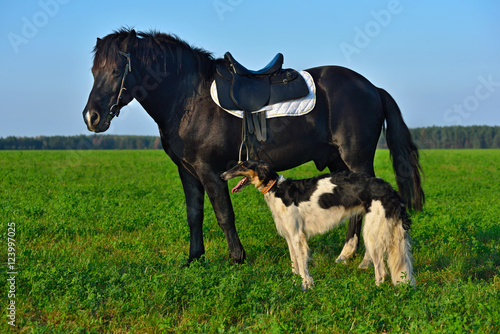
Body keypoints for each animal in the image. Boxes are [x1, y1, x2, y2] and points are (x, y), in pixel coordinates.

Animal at [84, 28, 424, 264]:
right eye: (93, 71)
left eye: (116, 71)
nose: (92, 117)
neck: (189, 97)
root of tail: (371, 87)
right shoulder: (188, 172)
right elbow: (194, 214)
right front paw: (194, 259)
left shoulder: (210, 171)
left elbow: (224, 214)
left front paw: (237, 258)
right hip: (337, 163)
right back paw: (345, 254)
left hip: (357, 160)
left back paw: (363, 257)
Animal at [222, 160, 414, 288]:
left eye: (242, 165)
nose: (221, 175)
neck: (277, 189)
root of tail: (391, 190)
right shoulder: (289, 237)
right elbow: (294, 264)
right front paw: (296, 283)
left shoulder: (297, 236)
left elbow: (302, 263)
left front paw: (306, 285)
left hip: (371, 235)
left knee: (381, 272)